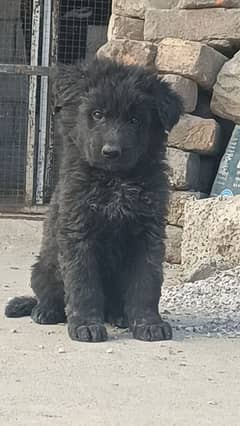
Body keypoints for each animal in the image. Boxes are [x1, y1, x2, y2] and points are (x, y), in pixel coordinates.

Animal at [5, 58, 182, 342]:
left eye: (135, 120)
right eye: (97, 114)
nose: (111, 152)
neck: (114, 181)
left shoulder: (148, 234)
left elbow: (146, 283)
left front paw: (149, 323)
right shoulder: (78, 233)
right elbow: (83, 284)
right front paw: (86, 325)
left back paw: (120, 317)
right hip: (42, 268)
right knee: (50, 296)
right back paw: (44, 311)